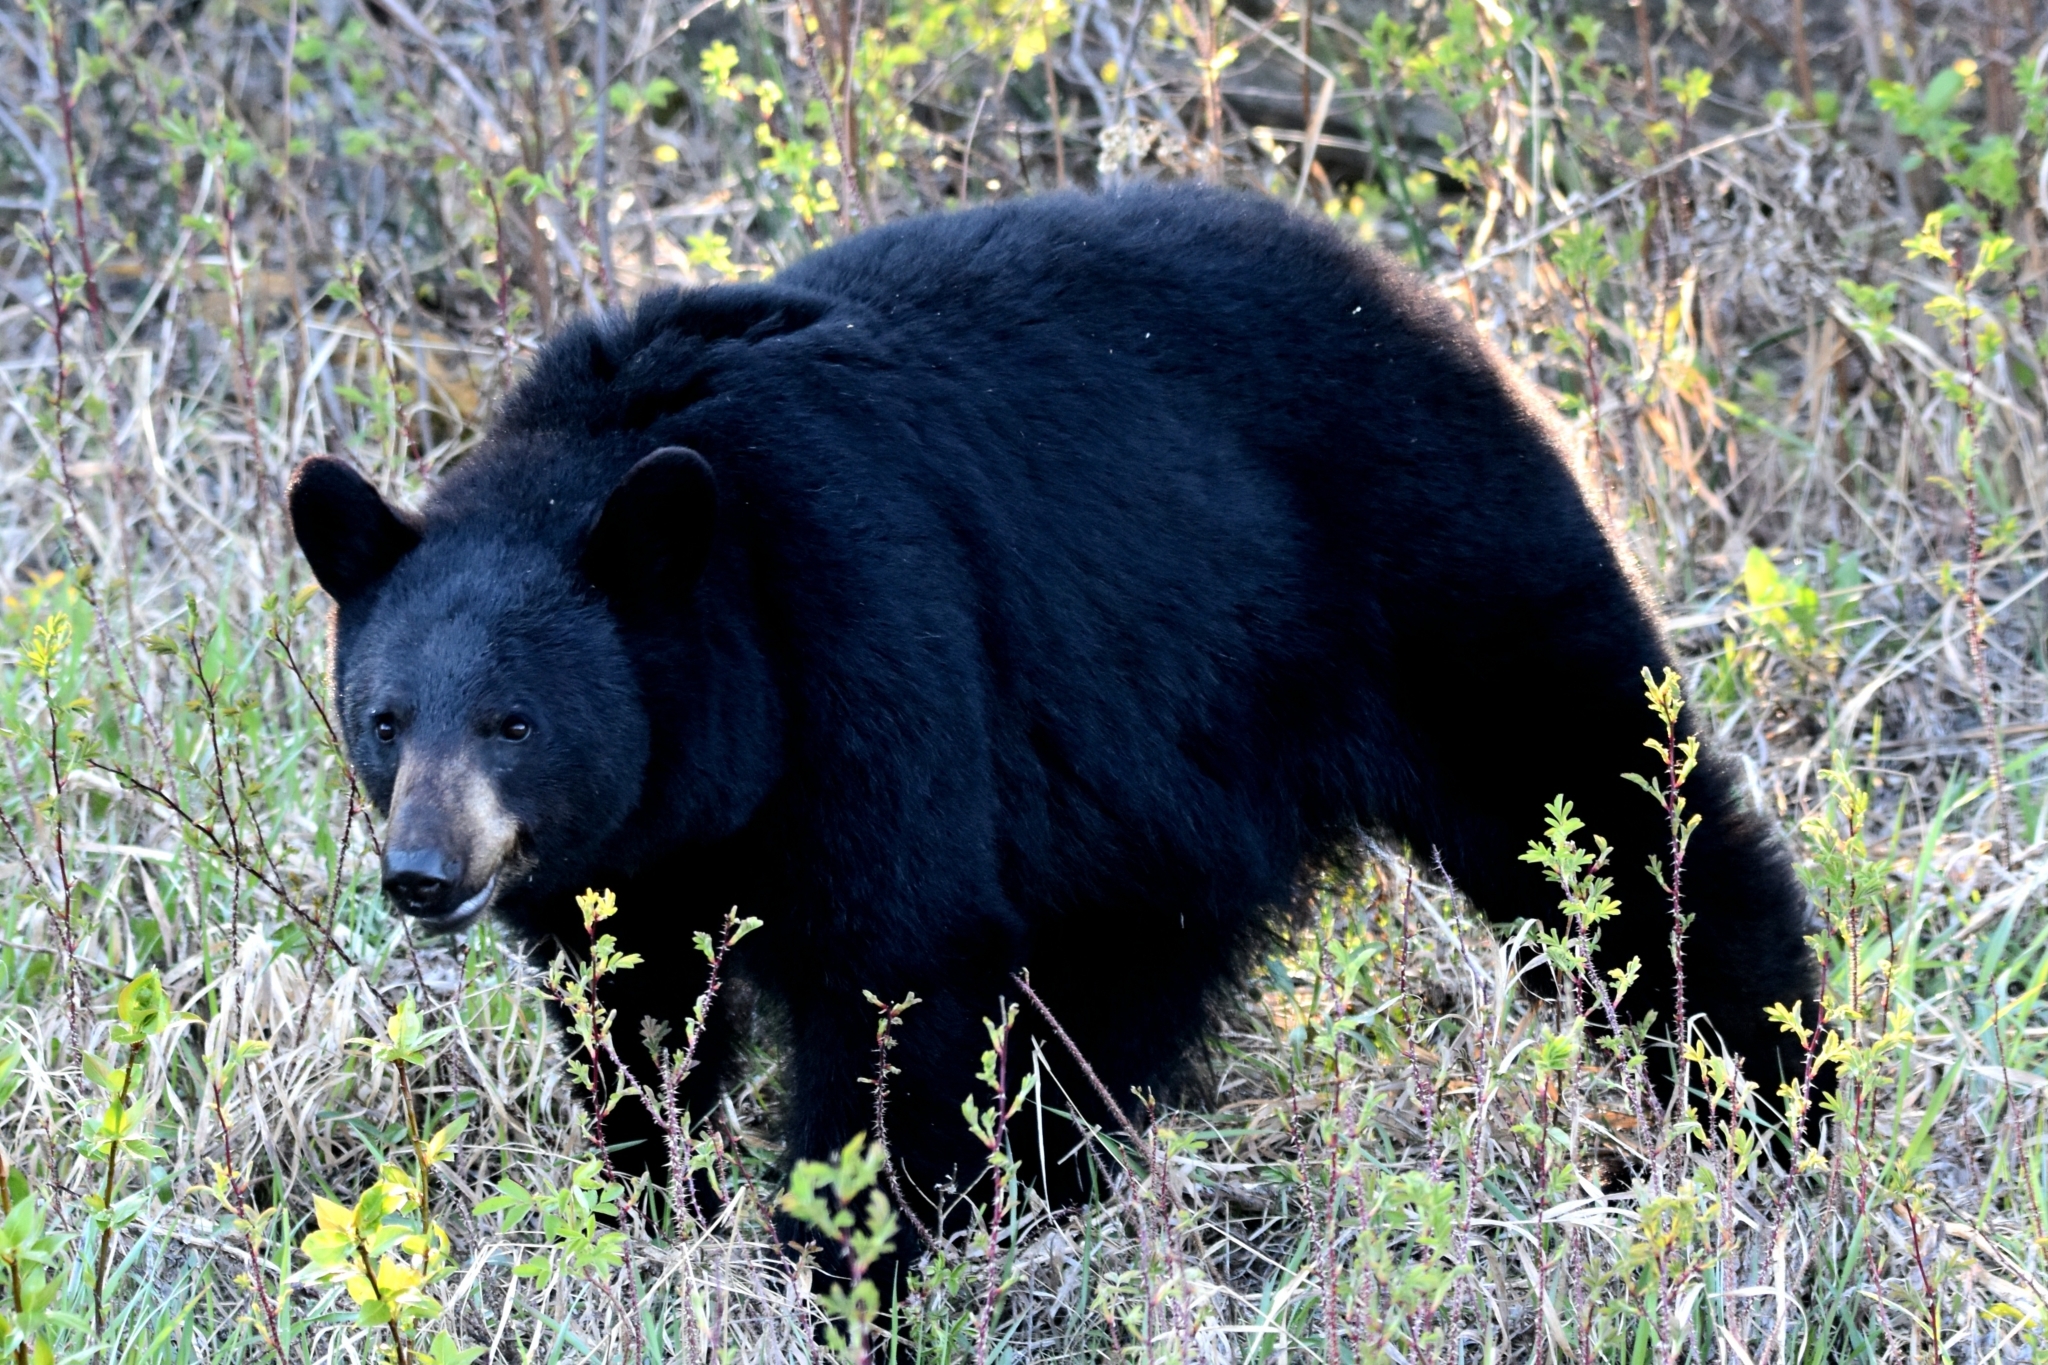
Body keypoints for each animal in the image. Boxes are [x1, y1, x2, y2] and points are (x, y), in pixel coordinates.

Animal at [287, 184, 1824, 1274]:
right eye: (384, 718)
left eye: (514, 720)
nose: (422, 874)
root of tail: (1425, 297)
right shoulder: (639, 859)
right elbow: (632, 1019)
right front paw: (650, 1206)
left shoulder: (867, 649)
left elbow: (896, 980)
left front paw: (845, 1261)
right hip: (1167, 766)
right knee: (1125, 979)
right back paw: (1043, 1180)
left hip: (1445, 577)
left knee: (1618, 826)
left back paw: (1773, 1105)